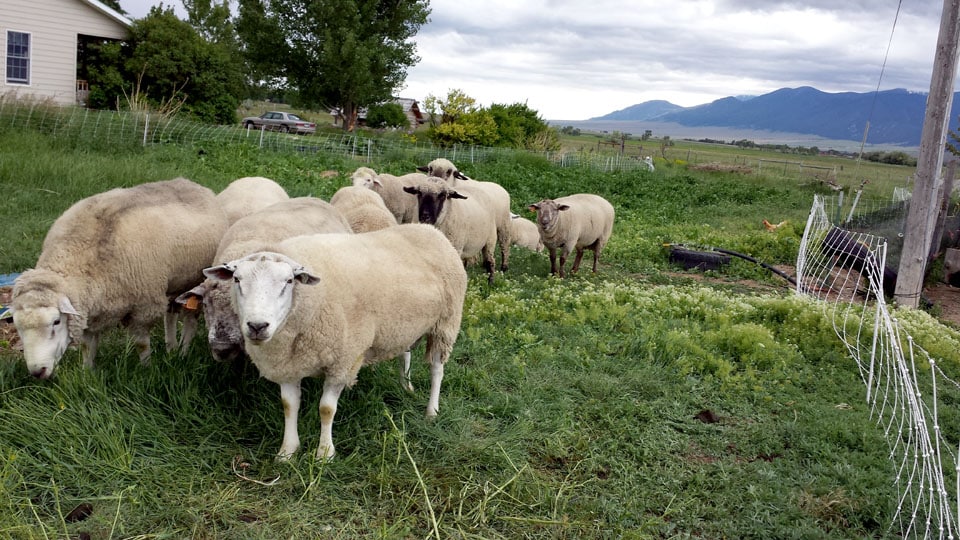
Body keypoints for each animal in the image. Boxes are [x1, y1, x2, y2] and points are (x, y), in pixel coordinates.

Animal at [11, 177, 228, 378]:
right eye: (17, 325)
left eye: (56, 322)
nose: (37, 372)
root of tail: (191, 183)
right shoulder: (90, 310)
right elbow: (88, 347)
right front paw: (87, 374)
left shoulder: (144, 306)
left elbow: (141, 344)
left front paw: (146, 370)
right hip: (174, 284)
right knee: (171, 315)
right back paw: (171, 348)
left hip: (194, 281)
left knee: (190, 321)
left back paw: (183, 353)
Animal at [203, 224, 468, 460]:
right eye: (236, 279)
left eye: (289, 281)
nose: (257, 326)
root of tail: (431, 230)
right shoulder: (288, 364)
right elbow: (289, 405)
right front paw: (287, 452)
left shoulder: (344, 362)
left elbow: (326, 409)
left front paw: (324, 454)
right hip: (404, 326)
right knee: (405, 353)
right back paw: (406, 386)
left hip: (446, 324)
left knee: (437, 370)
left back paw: (432, 411)